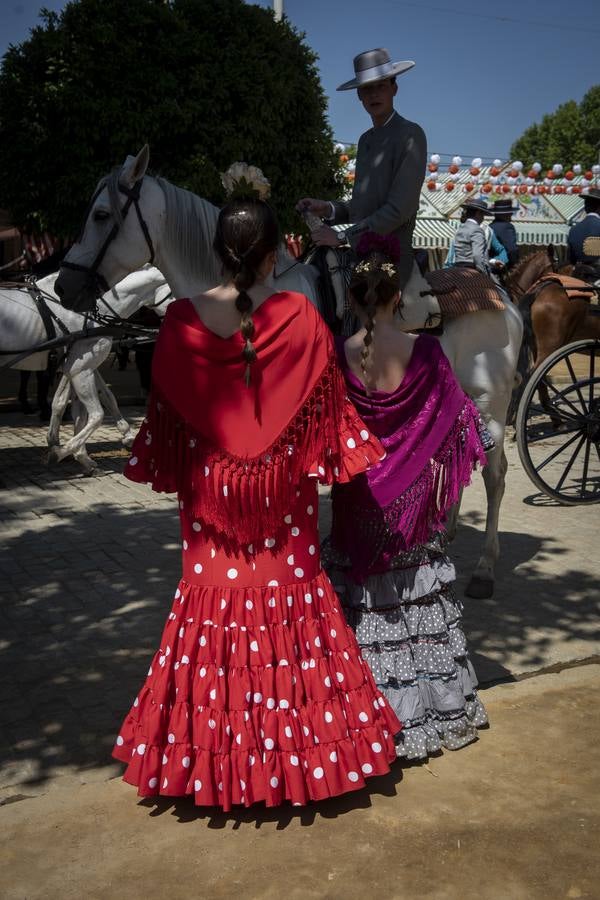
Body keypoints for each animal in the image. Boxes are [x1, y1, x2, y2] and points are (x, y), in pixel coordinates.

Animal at [1, 266, 171, 472]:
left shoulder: (77, 367)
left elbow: (70, 403)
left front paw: (65, 446)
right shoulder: (81, 368)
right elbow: (95, 413)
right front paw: (69, 452)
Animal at [56, 148, 524, 596]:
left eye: (101, 215)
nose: (63, 286)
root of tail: (503, 297)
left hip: (491, 403)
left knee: (495, 475)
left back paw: (484, 568)